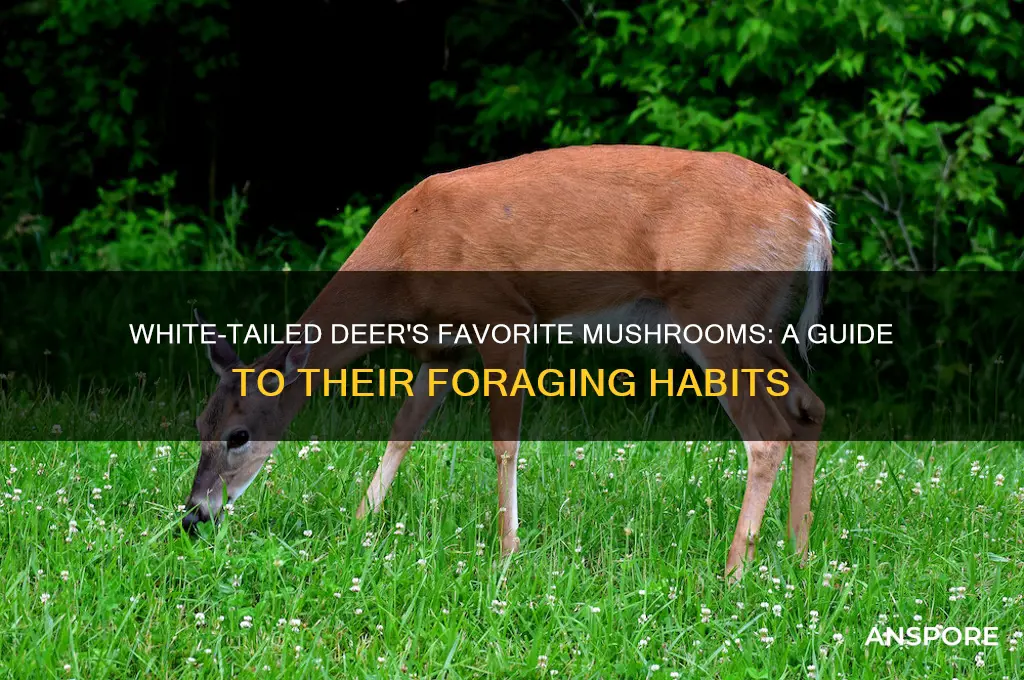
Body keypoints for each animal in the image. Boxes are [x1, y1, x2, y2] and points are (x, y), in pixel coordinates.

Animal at [182, 144, 831, 582]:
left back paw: (733, 571)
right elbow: (402, 430)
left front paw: (507, 550)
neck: (406, 256)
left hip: (714, 311)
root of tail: (813, 217)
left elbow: (503, 441)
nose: (194, 517)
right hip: (758, 323)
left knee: (768, 432)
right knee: (810, 407)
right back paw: (798, 555)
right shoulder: (441, 348)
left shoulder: (503, 317)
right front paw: (362, 521)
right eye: (198, 425)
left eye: (239, 434)